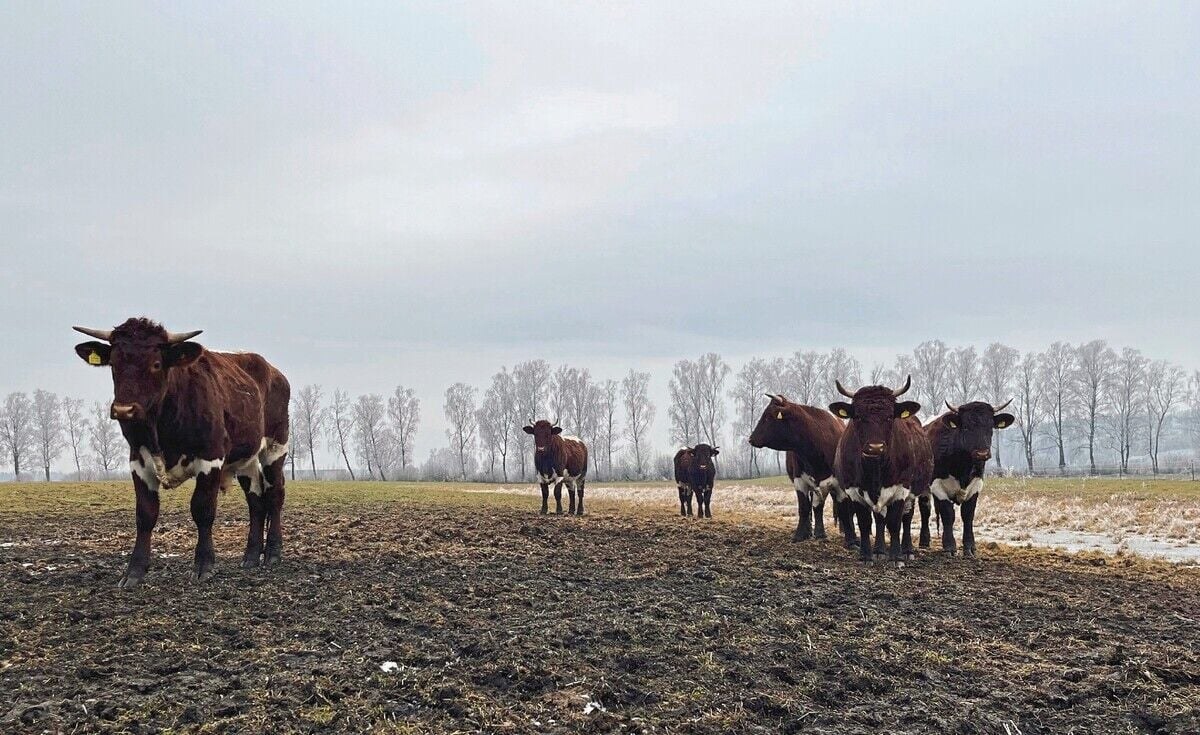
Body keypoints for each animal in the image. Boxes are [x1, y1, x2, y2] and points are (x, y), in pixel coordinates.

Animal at [73, 318, 290, 588]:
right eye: (113, 363)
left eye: (156, 364)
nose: (124, 410)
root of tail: (272, 370)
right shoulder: (138, 461)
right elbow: (145, 515)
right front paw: (134, 571)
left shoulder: (211, 458)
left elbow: (202, 510)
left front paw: (204, 565)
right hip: (245, 459)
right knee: (256, 501)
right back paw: (250, 557)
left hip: (275, 447)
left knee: (275, 494)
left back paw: (273, 554)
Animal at [747, 394, 852, 545]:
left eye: (768, 417)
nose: (751, 439)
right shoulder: (800, 481)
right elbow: (804, 507)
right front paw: (800, 534)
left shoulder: (837, 484)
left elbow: (841, 508)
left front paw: (850, 539)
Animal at [828, 376, 932, 566]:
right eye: (858, 416)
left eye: (890, 416)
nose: (875, 447)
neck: (875, 470)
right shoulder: (853, 490)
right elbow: (865, 523)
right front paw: (866, 556)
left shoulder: (901, 489)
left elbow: (895, 522)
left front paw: (896, 557)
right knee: (879, 520)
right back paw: (879, 551)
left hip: (913, 492)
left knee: (906, 519)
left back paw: (907, 550)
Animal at [922, 400, 1015, 557]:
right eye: (965, 427)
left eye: (990, 426)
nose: (982, 453)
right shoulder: (937, 485)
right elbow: (948, 515)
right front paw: (949, 546)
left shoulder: (976, 485)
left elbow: (968, 514)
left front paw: (970, 547)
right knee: (925, 510)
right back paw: (923, 541)